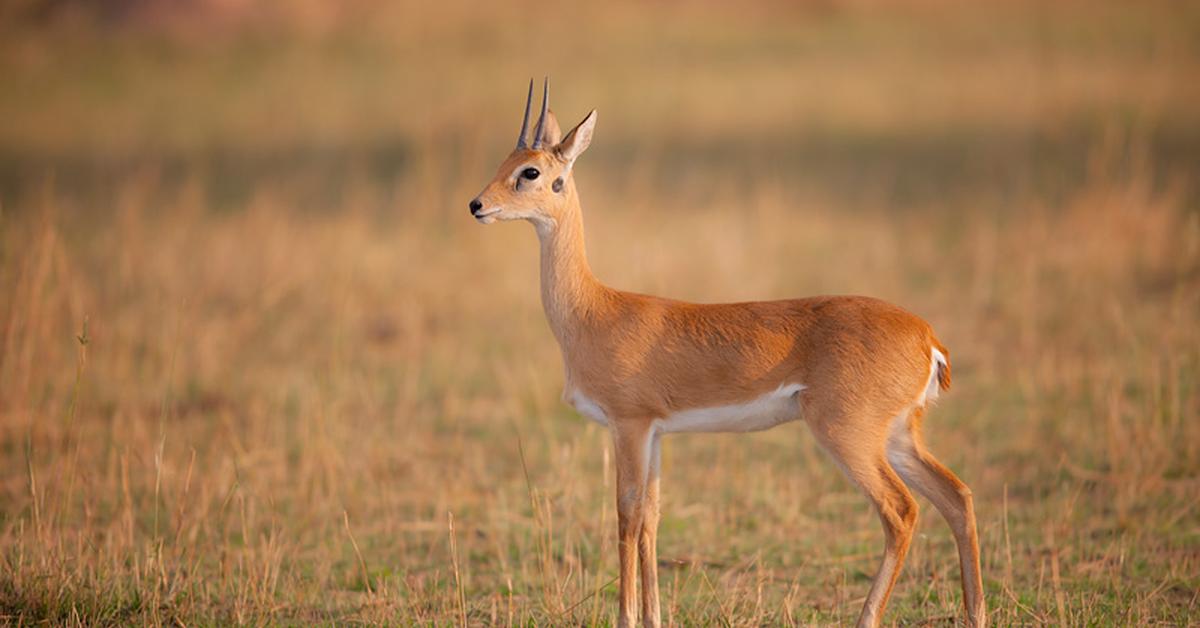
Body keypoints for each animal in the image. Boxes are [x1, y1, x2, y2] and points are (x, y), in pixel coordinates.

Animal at [468, 81, 984, 624]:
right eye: (506, 159)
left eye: (531, 172)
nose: (477, 204)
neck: (593, 310)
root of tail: (927, 336)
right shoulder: (655, 433)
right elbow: (651, 518)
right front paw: (654, 617)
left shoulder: (628, 425)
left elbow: (626, 515)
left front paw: (626, 618)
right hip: (899, 435)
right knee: (957, 497)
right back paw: (975, 613)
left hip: (849, 434)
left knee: (902, 511)